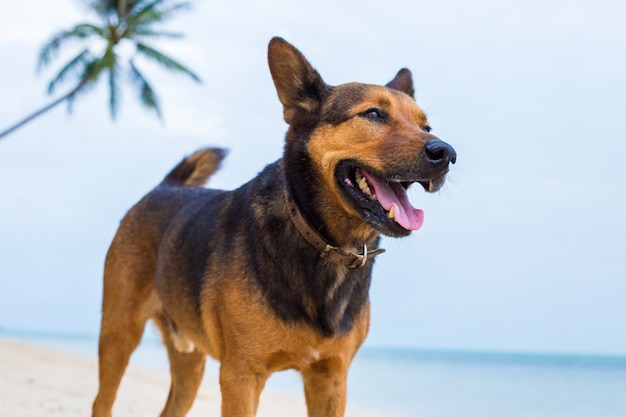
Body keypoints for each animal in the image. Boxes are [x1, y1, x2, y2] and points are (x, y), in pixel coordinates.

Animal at [91, 36, 454, 416]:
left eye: (426, 127)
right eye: (373, 114)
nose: (447, 153)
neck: (321, 241)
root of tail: (166, 187)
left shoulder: (331, 378)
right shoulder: (241, 377)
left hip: (190, 366)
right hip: (118, 335)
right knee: (101, 400)